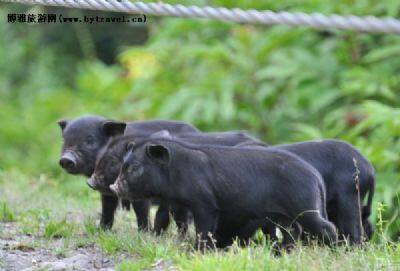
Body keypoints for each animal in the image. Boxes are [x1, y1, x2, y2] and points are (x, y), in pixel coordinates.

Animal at [57, 115, 198, 232]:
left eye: (90, 141)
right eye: (64, 140)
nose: (66, 158)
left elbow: (141, 211)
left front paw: (143, 233)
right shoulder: (106, 190)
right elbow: (107, 208)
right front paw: (102, 230)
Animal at [109, 138, 338, 251]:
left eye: (135, 168)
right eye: (123, 166)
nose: (114, 186)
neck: (178, 172)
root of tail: (316, 176)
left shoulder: (206, 203)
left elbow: (204, 229)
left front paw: (197, 251)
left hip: (305, 206)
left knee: (327, 227)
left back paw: (334, 250)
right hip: (288, 214)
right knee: (294, 230)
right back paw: (281, 251)